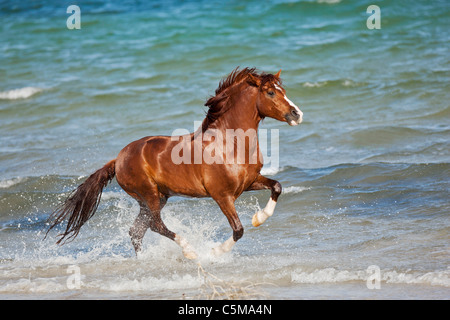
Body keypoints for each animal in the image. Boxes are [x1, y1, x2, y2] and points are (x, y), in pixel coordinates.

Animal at [46, 67, 302, 260]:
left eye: (283, 90)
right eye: (270, 92)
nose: (297, 114)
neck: (231, 144)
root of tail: (118, 158)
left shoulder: (249, 182)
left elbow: (277, 186)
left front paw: (260, 218)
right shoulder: (222, 195)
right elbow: (238, 230)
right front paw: (215, 251)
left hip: (156, 198)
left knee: (136, 231)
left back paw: (144, 261)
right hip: (148, 195)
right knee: (155, 226)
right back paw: (189, 251)